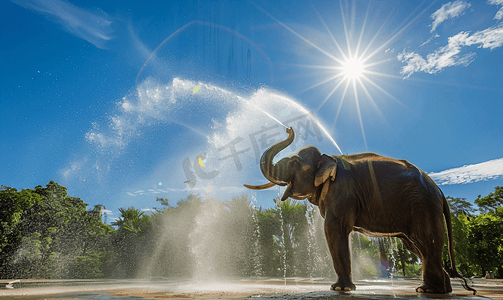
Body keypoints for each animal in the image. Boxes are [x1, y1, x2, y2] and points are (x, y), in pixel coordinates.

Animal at [244, 127, 476, 294]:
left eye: (293, 162)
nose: (288, 129)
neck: (328, 158)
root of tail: (439, 191)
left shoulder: (342, 192)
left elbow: (334, 229)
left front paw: (340, 288)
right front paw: (342, 287)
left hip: (422, 204)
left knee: (426, 241)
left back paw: (428, 290)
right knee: (417, 246)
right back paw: (439, 290)